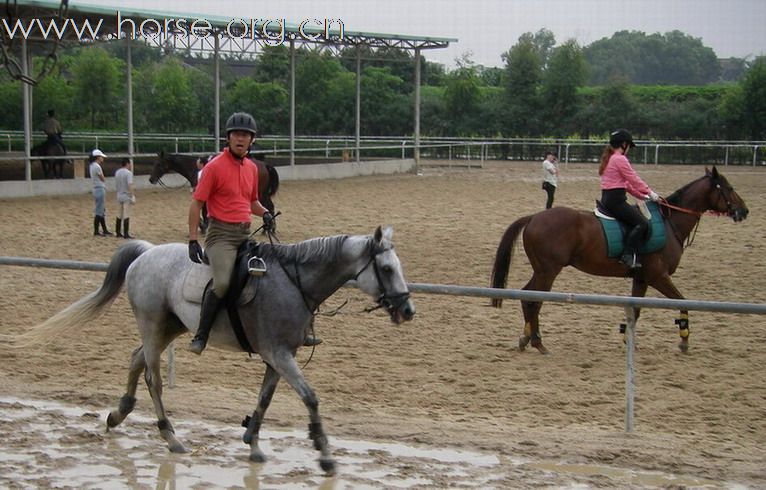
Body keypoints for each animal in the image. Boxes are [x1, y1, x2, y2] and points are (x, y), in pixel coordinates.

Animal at [16, 226, 414, 474]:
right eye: (386, 268)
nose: (408, 310)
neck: (294, 282)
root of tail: (146, 253)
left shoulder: (278, 357)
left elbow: (265, 399)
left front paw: (253, 442)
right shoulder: (280, 355)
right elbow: (311, 398)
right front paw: (324, 453)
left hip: (171, 327)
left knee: (136, 359)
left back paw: (119, 413)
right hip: (153, 324)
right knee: (153, 378)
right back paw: (170, 437)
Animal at [492, 167, 752, 354]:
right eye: (729, 188)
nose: (744, 211)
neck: (670, 224)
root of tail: (534, 217)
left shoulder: (641, 278)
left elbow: (635, 310)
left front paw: (629, 339)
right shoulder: (658, 277)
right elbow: (683, 302)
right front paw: (684, 340)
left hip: (542, 270)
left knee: (527, 296)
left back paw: (527, 338)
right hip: (549, 271)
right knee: (534, 301)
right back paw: (537, 342)